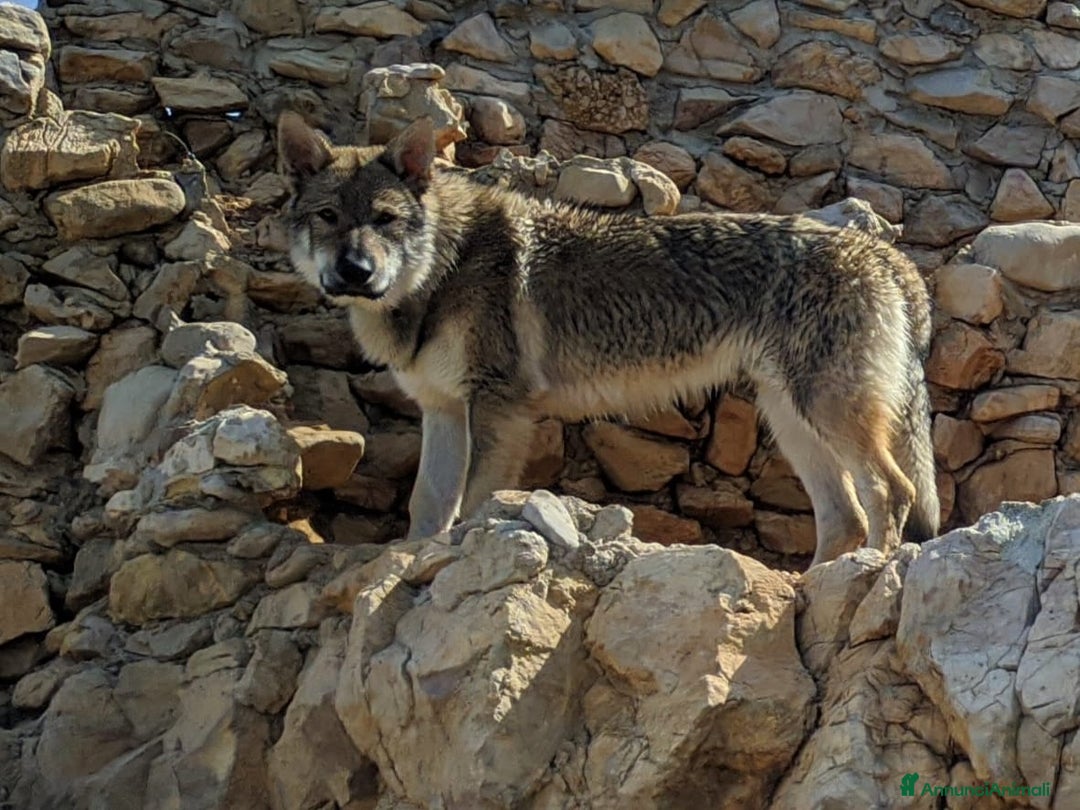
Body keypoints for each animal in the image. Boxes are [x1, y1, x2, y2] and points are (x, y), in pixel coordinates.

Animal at [276, 111, 939, 565]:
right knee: (843, 517)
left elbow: (471, 501)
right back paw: (813, 585)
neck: (441, 271)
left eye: (385, 219)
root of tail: (885, 254)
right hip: (792, 420)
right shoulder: (441, 410)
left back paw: (862, 576)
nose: (356, 270)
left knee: (892, 490)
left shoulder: (497, 408)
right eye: (328, 217)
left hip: (823, 412)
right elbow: (428, 505)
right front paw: (412, 560)